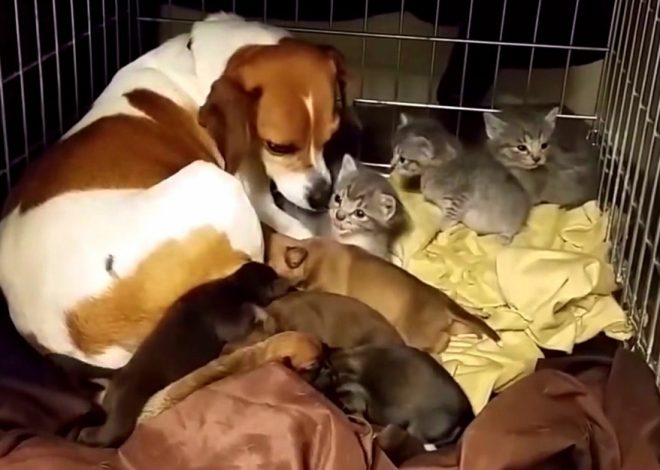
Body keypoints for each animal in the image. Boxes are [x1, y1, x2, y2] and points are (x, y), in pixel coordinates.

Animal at [47, 260, 290, 448]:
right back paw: (84, 436)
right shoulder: (227, 319)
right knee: (106, 433)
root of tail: (118, 374)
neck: (234, 284)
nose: (289, 282)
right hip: (124, 410)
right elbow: (250, 310)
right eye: (273, 276)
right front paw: (265, 316)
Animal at [264, 233, 500, 354]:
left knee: (440, 341)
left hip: (414, 333)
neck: (310, 254)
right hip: (455, 325)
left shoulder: (326, 287)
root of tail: (442, 301)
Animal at [392, 112, 532, 241]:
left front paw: (445, 227)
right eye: (393, 152)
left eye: (402, 159)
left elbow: (449, 218)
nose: (391, 165)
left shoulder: (461, 197)